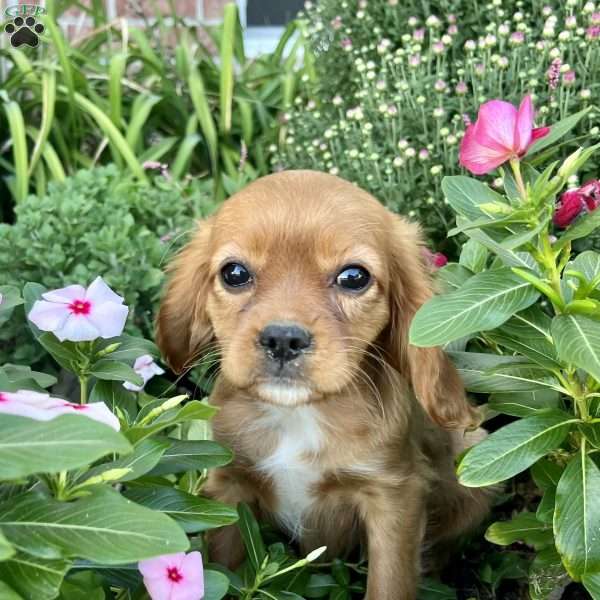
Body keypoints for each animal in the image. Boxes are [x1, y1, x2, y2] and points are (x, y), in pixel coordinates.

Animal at [156, 170, 492, 600]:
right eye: (235, 273)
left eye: (354, 277)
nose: (283, 338)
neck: (299, 414)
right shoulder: (229, 483)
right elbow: (221, 563)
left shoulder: (393, 497)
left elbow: (390, 583)